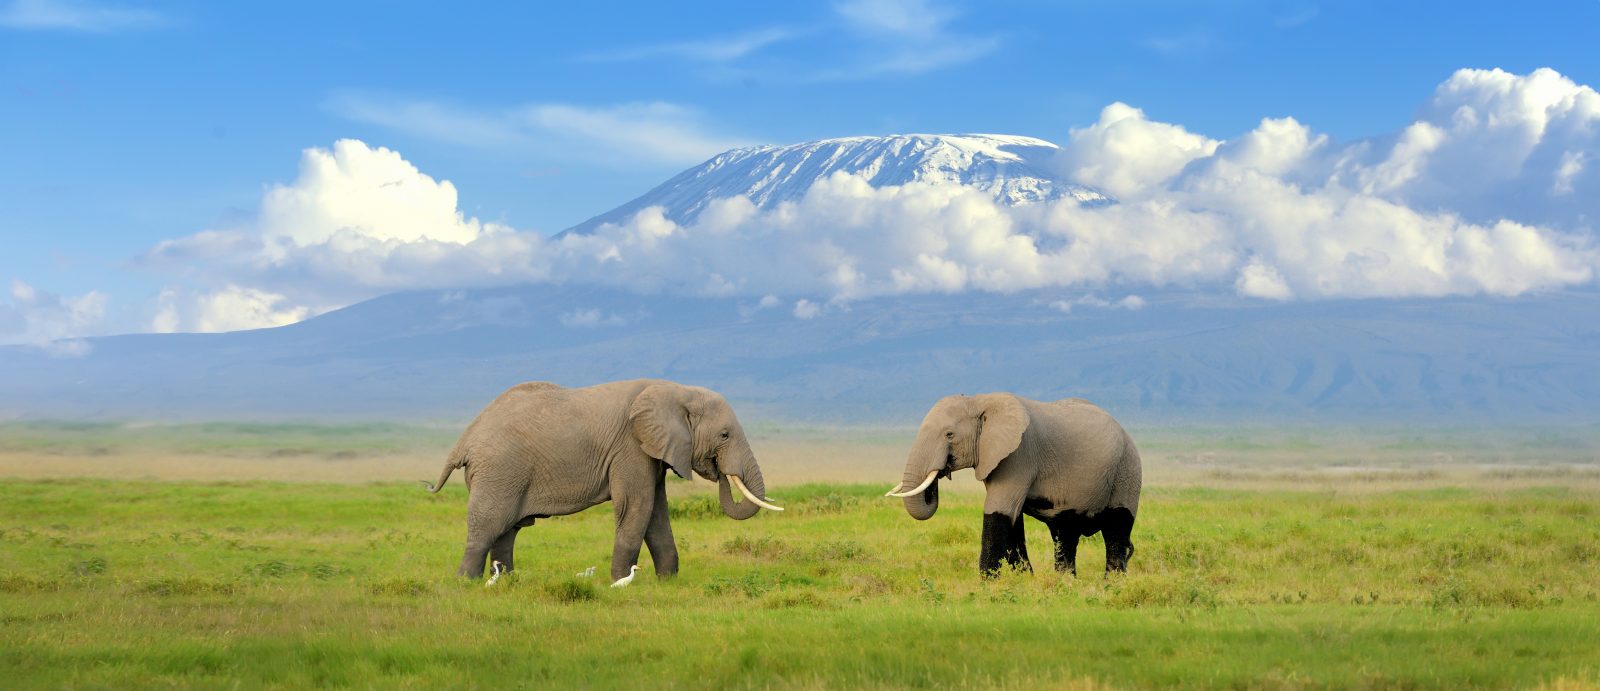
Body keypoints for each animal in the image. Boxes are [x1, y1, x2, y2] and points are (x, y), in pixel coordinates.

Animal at [424, 379, 783, 581]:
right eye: (724, 435)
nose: (718, 469)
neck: (678, 390)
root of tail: (465, 439)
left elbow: (656, 512)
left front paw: (668, 582)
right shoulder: (630, 447)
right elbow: (636, 507)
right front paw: (621, 582)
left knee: (508, 530)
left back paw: (510, 581)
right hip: (499, 471)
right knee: (488, 526)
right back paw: (466, 583)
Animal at [886, 393, 1141, 577]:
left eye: (949, 434)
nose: (940, 472)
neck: (980, 400)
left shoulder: (1019, 456)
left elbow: (999, 512)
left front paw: (988, 584)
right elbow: (1013, 521)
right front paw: (1025, 580)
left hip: (1127, 470)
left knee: (1117, 528)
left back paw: (1112, 585)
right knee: (1065, 534)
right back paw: (1066, 583)